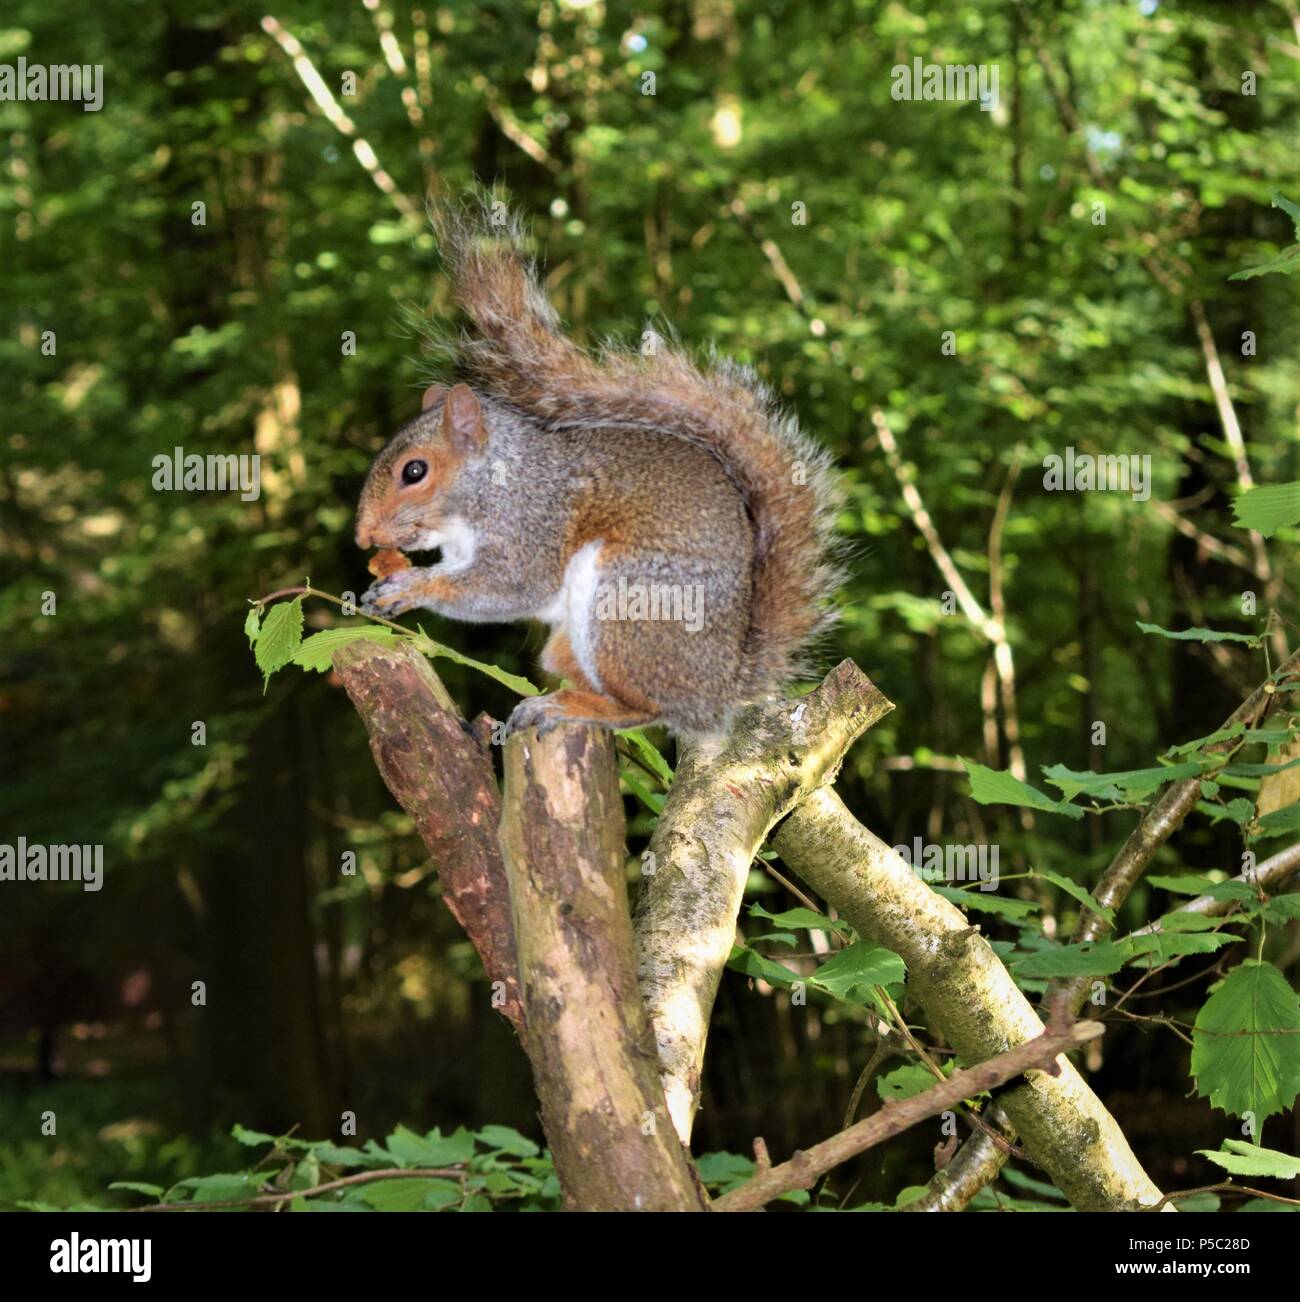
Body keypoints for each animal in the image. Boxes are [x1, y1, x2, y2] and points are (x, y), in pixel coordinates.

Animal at [359, 197, 844, 739]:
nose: (363, 535)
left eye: (414, 472)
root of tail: (721, 689)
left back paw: (570, 709)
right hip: (575, 640)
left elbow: (511, 586)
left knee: (645, 708)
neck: (494, 481)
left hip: (630, 602)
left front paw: (411, 587)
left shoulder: (533, 521)